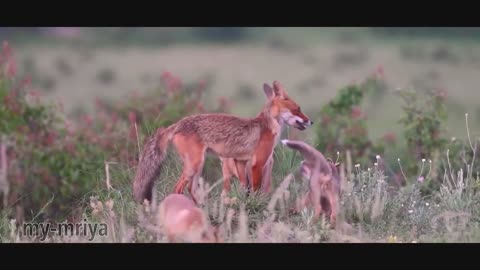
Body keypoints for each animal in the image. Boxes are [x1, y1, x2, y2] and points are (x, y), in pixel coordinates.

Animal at [131, 81, 314, 204]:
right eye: (298, 109)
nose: (311, 121)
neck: (268, 126)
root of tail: (177, 124)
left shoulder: (240, 161)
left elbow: (245, 187)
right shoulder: (258, 163)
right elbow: (256, 189)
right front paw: (256, 205)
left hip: (197, 166)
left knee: (190, 189)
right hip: (194, 165)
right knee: (177, 189)